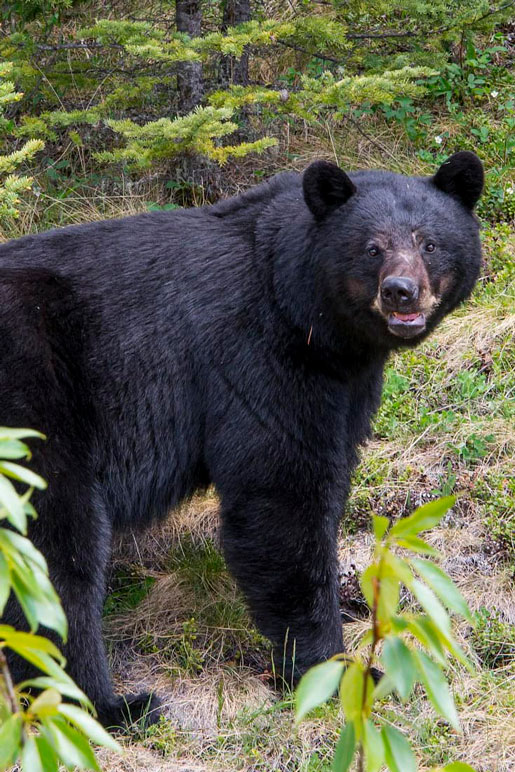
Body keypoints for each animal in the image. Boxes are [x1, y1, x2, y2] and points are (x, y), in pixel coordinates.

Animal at [0, 152, 484, 728]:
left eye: (429, 242)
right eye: (372, 247)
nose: (400, 291)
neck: (302, 309)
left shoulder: (345, 385)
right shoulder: (256, 357)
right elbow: (281, 500)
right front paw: (332, 667)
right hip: (37, 396)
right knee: (54, 548)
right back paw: (106, 705)